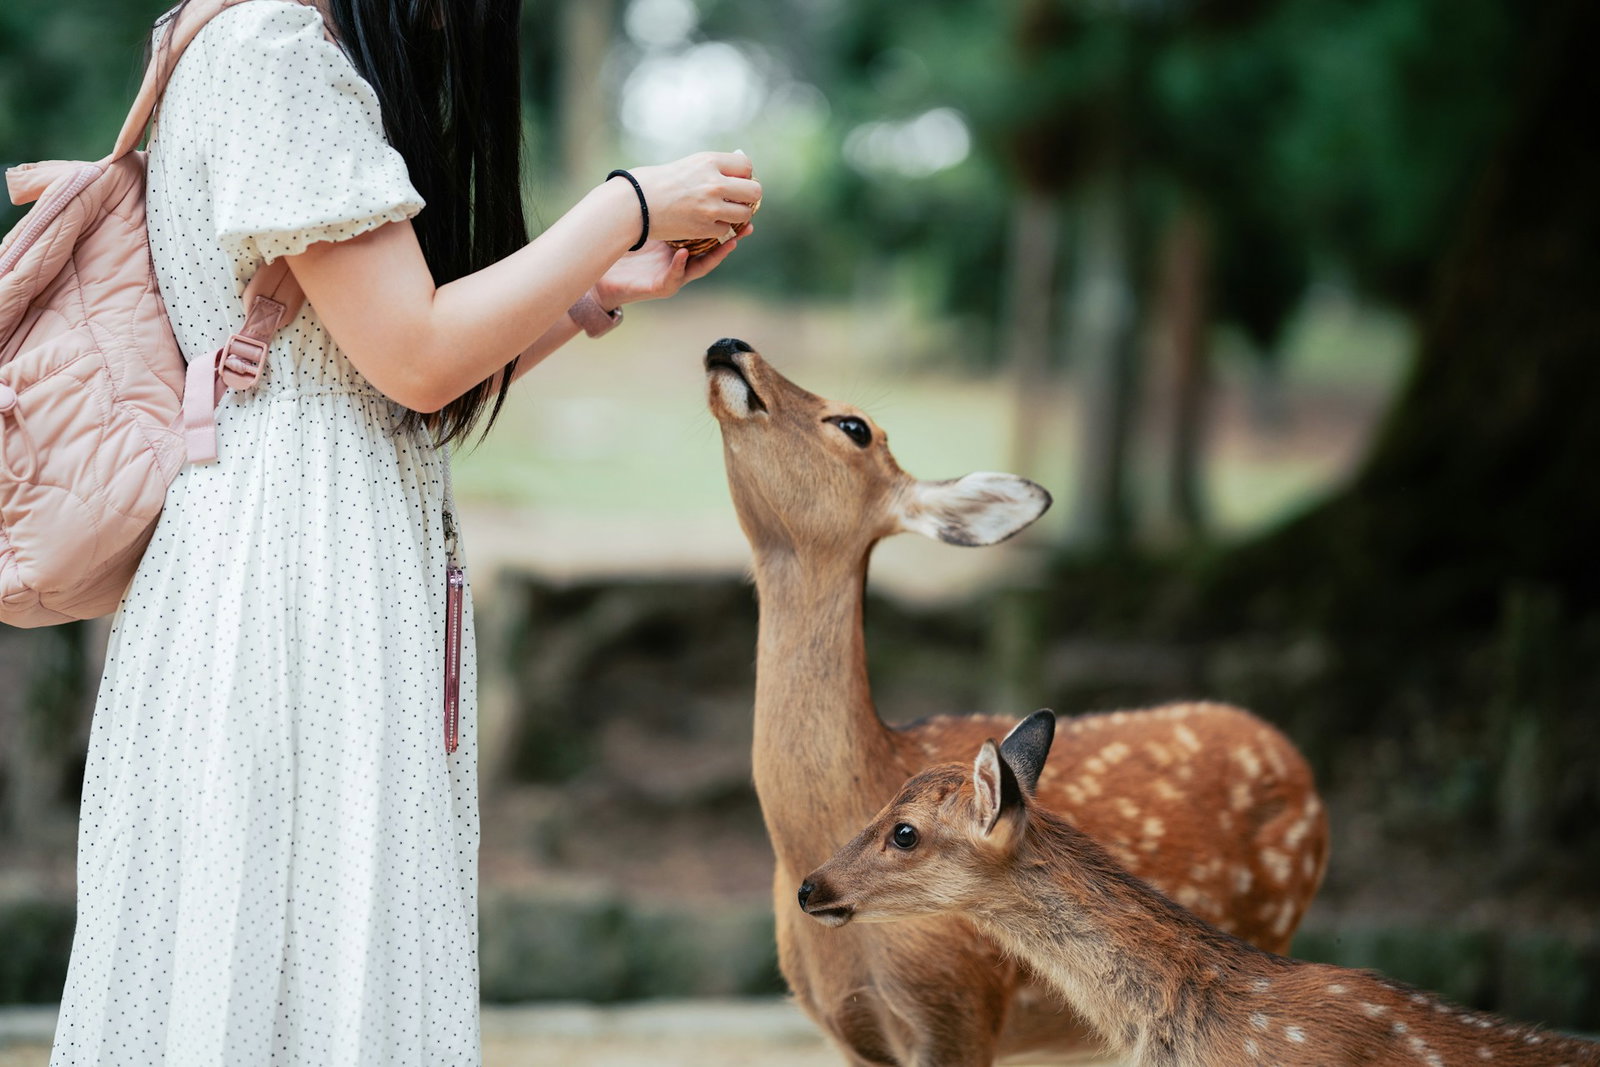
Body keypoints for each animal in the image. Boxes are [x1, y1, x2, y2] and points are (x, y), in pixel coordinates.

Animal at [704, 337, 1330, 1065]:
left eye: (854, 426)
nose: (731, 346)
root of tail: (1296, 761)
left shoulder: (961, 1005)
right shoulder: (847, 1029)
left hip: (1269, 927)